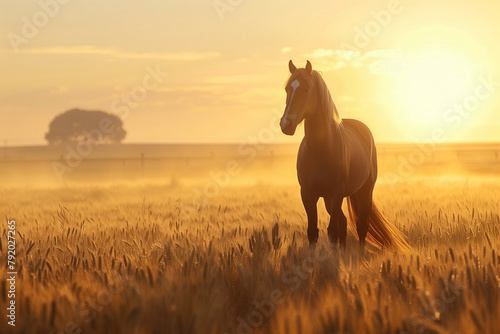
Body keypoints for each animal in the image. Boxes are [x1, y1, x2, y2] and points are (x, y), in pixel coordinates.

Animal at [278, 60, 410, 252]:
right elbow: (313, 231)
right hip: (329, 199)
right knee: (344, 222)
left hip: (364, 191)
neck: (320, 150)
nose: (286, 124)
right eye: (288, 88)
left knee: (361, 225)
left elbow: (332, 230)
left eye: (306, 89)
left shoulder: (336, 193)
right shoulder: (308, 194)